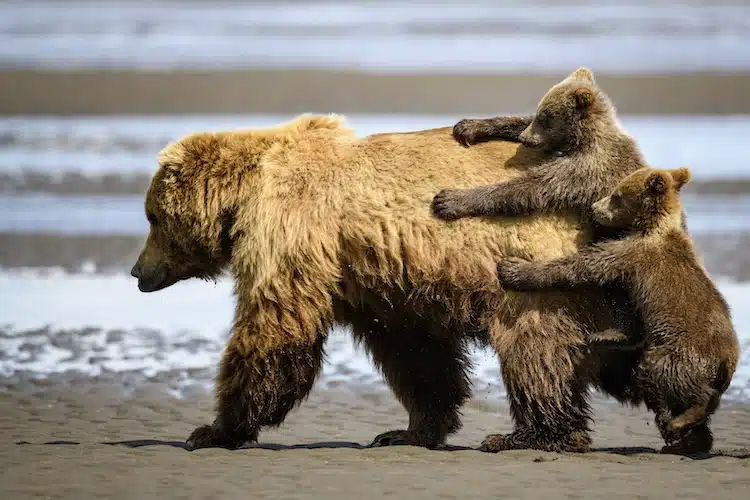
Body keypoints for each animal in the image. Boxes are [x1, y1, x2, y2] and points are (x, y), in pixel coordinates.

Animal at [132, 113, 644, 454]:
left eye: (151, 217)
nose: (138, 272)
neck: (246, 194)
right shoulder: (381, 281)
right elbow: (416, 354)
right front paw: (409, 429)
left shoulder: (292, 231)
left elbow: (273, 328)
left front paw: (214, 429)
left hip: (533, 264)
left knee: (534, 348)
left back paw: (532, 433)